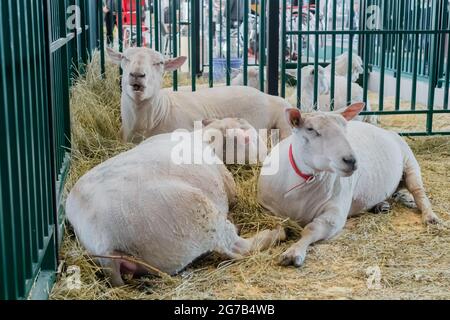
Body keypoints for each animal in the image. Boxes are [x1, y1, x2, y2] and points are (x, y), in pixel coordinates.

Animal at [66, 118, 284, 288]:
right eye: (251, 137)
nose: (268, 156)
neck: (204, 138)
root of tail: (103, 242)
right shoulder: (226, 180)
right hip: (198, 216)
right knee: (236, 247)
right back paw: (277, 233)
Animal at [256, 104, 440, 266]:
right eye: (311, 130)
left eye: (345, 128)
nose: (351, 160)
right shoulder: (268, 210)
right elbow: (277, 228)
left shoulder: (334, 215)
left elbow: (311, 229)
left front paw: (294, 253)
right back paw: (381, 205)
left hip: (410, 162)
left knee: (419, 192)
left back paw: (430, 216)